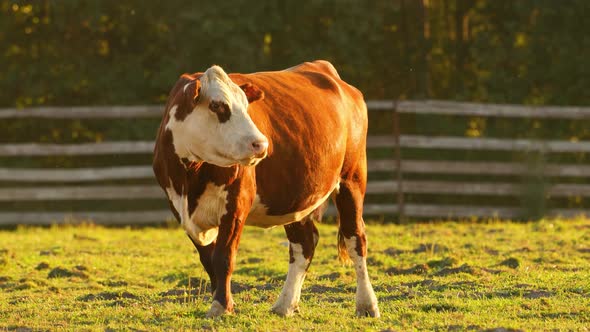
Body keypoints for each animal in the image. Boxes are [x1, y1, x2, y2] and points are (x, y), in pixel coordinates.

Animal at [153, 60, 382, 320]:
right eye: (217, 105)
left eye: (246, 105)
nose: (261, 144)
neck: (190, 176)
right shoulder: (179, 208)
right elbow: (208, 260)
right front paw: (221, 302)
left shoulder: (236, 205)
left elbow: (224, 257)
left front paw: (221, 305)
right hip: (296, 197)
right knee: (304, 244)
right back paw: (285, 304)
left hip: (352, 179)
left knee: (356, 239)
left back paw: (366, 304)